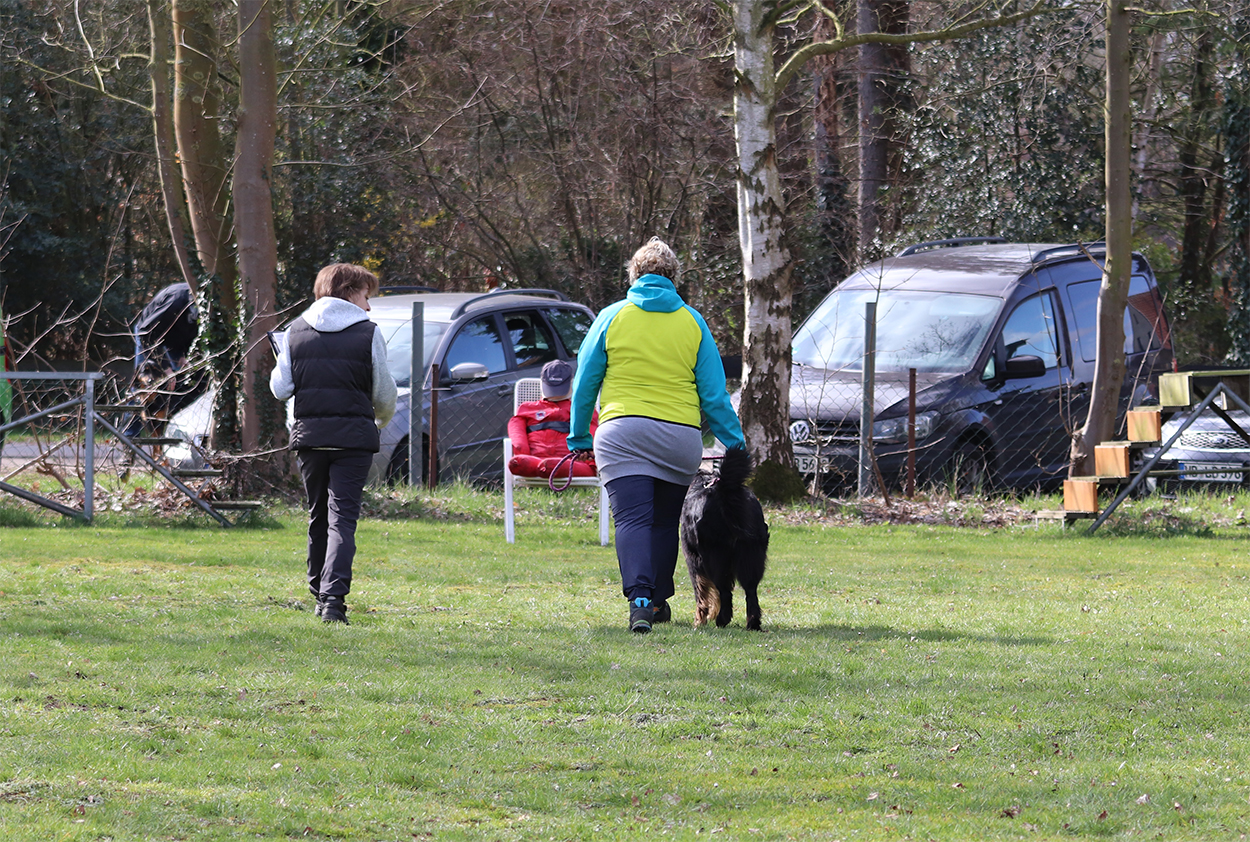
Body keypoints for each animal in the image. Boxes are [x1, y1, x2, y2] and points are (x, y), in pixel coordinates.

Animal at [680, 444, 769, 630]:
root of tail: (727, 492)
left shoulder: (693, 561)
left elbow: (702, 594)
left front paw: (701, 619)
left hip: (716, 558)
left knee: (725, 591)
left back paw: (722, 620)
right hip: (750, 555)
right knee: (751, 592)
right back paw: (753, 623)